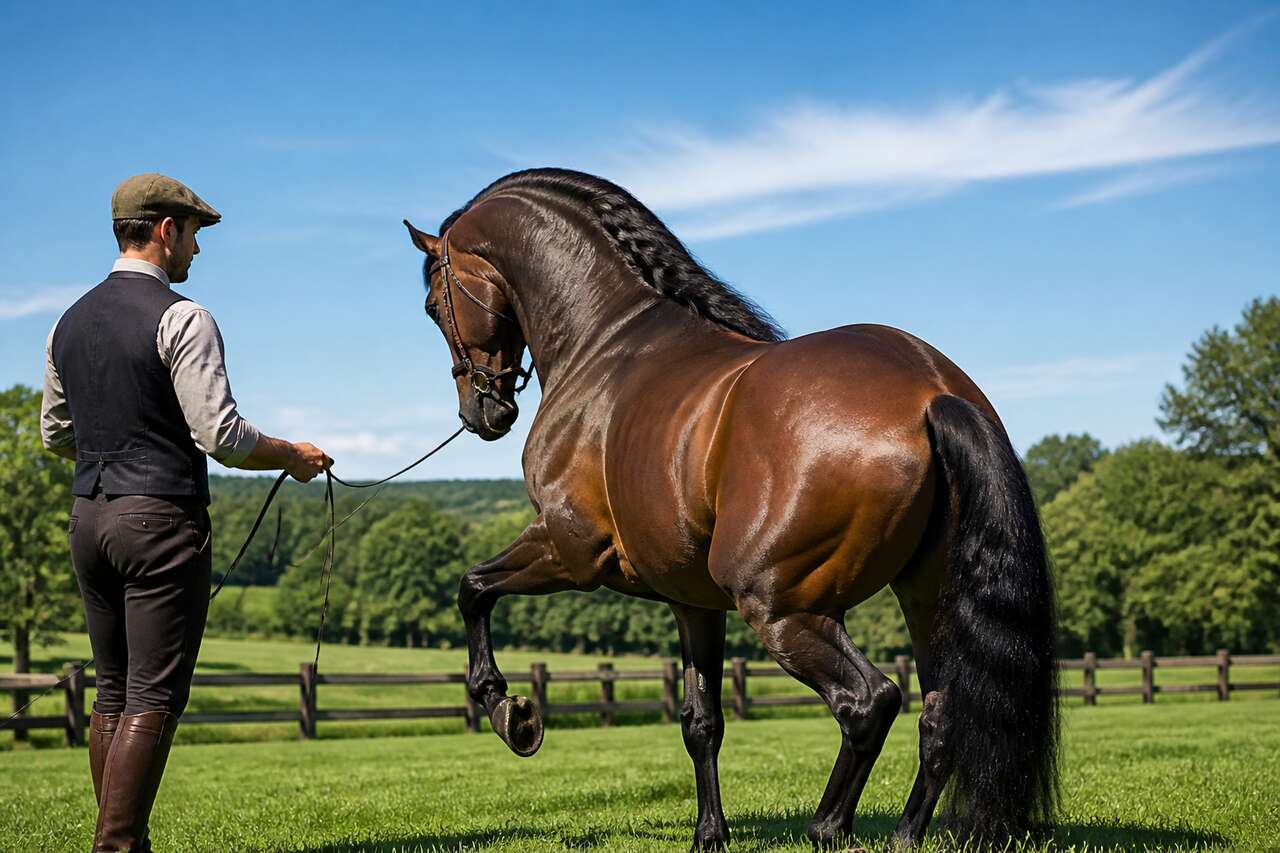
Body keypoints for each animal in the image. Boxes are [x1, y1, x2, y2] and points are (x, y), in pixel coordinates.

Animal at [403, 168, 1058, 850]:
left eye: (433, 306)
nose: (482, 413)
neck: (605, 346)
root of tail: (932, 394)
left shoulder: (570, 548)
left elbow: (472, 588)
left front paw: (512, 714)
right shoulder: (692, 601)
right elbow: (701, 722)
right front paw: (708, 834)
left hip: (781, 607)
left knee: (869, 701)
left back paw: (829, 825)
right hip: (927, 602)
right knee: (942, 714)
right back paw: (902, 836)